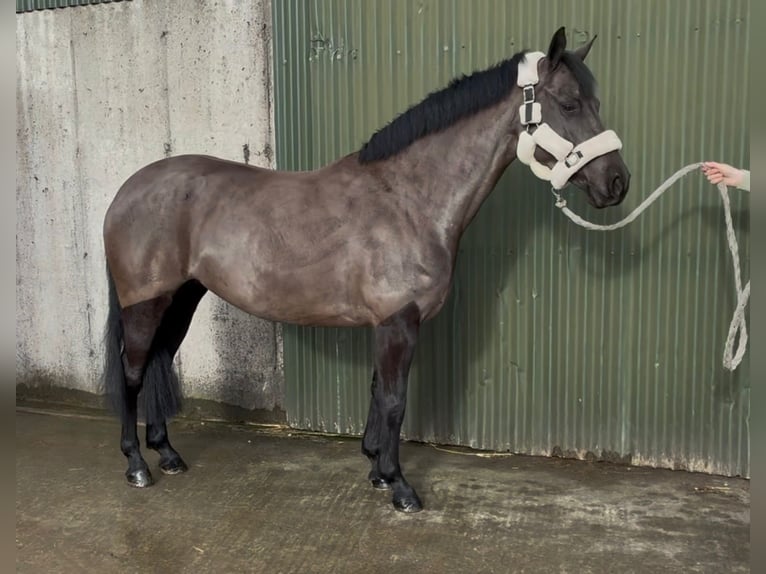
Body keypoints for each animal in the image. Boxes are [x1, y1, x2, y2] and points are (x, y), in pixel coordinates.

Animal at [102, 27, 630, 513]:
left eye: (596, 101)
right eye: (569, 104)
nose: (617, 182)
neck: (408, 200)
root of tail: (126, 191)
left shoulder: (386, 324)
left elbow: (379, 392)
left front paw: (376, 469)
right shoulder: (399, 322)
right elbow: (395, 400)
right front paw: (399, 486)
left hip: (182, 297)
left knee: (157, 360)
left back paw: (168, 454)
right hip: (146, 303)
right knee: (132, 371)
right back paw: (137, 465)